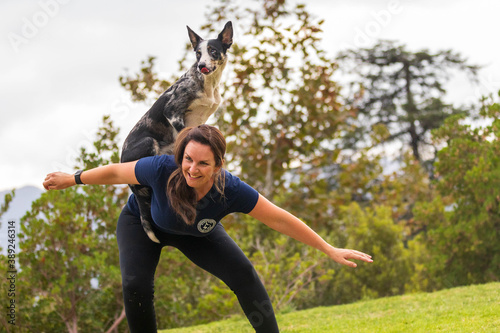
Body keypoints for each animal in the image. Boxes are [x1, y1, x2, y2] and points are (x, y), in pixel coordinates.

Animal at [121, 22, 232, 243]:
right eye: (198, 53)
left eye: (213, 51)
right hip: (149, 142)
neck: (207, 84)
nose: (201, 65)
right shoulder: (172, 112)